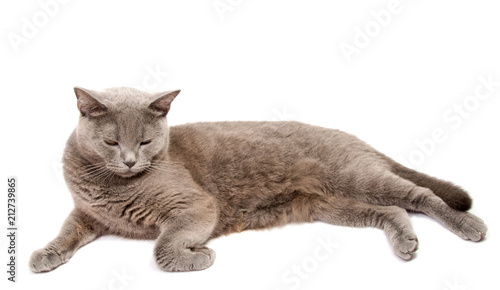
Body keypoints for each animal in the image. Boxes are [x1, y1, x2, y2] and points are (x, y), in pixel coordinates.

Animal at [29, 86, 486, 272]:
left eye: (144, 141)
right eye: (110, 141)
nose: (127, 161)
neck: (111, 184)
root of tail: (353, 137)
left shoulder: (195, 204)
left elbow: (162, 248)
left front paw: (198, 255)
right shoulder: (89, 214)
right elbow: (66, 232)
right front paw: (44, 255)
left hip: (356, 177)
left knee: (421, 195)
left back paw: (470, 225)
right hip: (330, 203)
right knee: (391, 209)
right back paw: (405, 241)